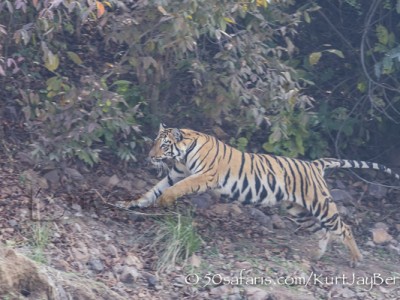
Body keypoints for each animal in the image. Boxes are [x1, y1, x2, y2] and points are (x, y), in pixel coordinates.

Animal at [128, 124, 400, 268]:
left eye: (163, 145)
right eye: (154, 142)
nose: (150, 156)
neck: (183, 154)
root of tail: (314, 164)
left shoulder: (204, 176)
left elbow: (176, 188)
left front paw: (165, 200)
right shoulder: (175, 174)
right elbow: (155, 188)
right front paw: (135, 203)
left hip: (320, 205)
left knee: (344, 228)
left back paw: (356, 258)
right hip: (298, 210)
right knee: (322, 232)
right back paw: (315, 256)